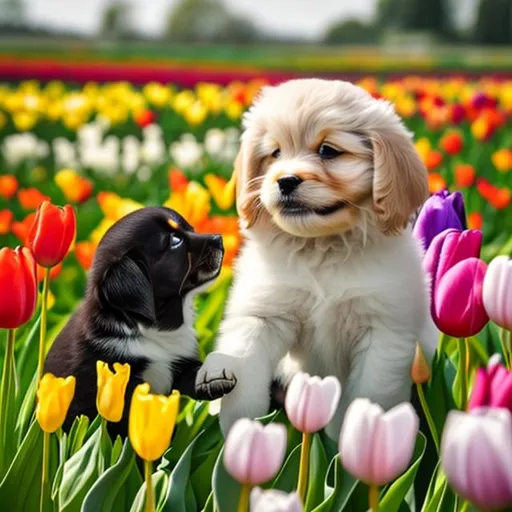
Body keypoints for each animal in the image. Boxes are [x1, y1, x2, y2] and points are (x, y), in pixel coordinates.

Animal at [44, 206, 232, 438]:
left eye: (190, 228)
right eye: (175, 241)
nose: (219, 238)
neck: (154, 327)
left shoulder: (180, 364)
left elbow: (196, 374)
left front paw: (215, 379)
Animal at [196, 77, 436, 440]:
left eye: (328, 151)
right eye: (275, 153)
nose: (285, 180)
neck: (321, 247)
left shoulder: (384, 332)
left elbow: (369, 393)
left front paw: (363, 437)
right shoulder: (265, 312)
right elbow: (245, 357)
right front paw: (242, 426)